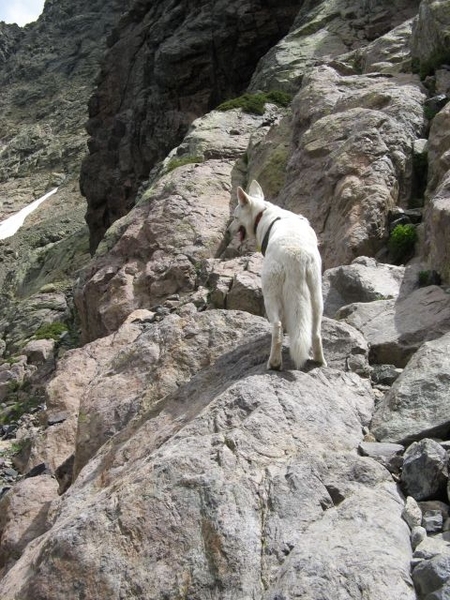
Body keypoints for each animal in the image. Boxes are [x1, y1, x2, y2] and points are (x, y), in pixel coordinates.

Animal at [230, 180, 326, 370]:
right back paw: (320, 361)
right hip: (316, 293)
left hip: (270, 292)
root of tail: (296, 257)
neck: (263, 213)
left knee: (277, 327)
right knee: (315, 332)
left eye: (235, 218)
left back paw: (274, 363)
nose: (229, 231)